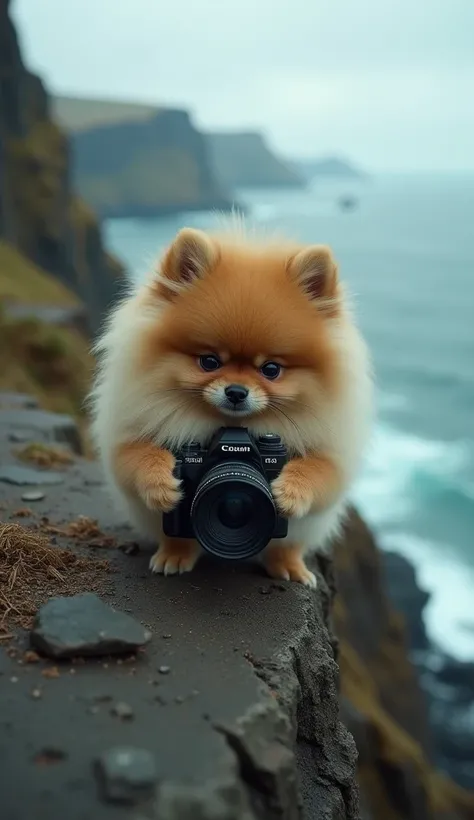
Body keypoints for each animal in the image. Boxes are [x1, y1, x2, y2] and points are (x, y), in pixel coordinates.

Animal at [88, 221, 370, 588]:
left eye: (271, 369)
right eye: (209, 362)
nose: (236, 391)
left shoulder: (331, 454)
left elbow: (322, 472)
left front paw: (291, 490)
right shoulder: (128, 435)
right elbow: (133, 458)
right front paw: (160, 483)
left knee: (287, 545)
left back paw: (290, 567)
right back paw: (174, 554)